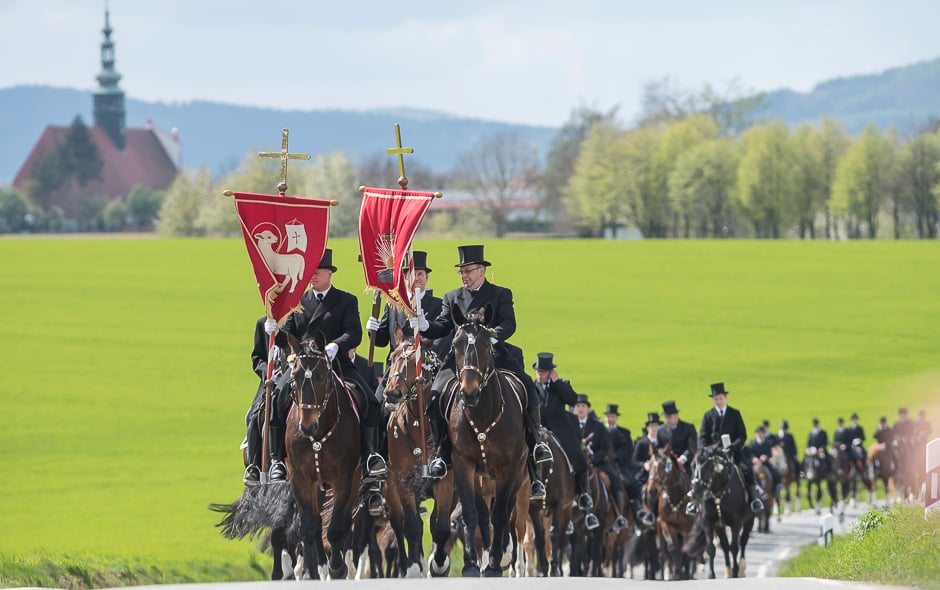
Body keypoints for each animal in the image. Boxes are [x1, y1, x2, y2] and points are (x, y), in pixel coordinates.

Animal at [282, 336, 364, 580]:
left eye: (321, 376)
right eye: (295, 377)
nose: (307, 426)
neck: (319, 436)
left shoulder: (344, 477)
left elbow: (336, 528)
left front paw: (337, 568)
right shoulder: (300, 479)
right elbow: (311, 527)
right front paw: (317, 570)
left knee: (345, 521)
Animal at [444, 306, 524, 580]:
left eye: (485, 345)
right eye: (455, 344)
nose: (469, 392)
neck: (482, 415)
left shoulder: (508, 469)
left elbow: (499, 515)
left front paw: (494, 565)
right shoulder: (463, 464)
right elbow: (471, 513)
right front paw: (470, 565)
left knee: (506, 511)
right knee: (481, 512)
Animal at [648, 446, 692, 580]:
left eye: (664, 466)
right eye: (649, 465)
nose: (652, 491)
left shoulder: (688, 528)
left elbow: (685, 549)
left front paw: (681, 574)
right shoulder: (666, 524)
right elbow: (672, 548)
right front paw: (676, 573)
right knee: (664, 554)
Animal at [692, 446, 756, 580]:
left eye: (707, 466)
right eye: (693, 465)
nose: (695, 492)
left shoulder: (736, 523)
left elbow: (735, 547)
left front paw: (736, 571)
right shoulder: (708, 522)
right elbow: (711, 548)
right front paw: (711, 575)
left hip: (749, 520)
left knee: (743, 541)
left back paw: (741, 569)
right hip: (720, 526)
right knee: (725, 546)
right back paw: (728, 571)